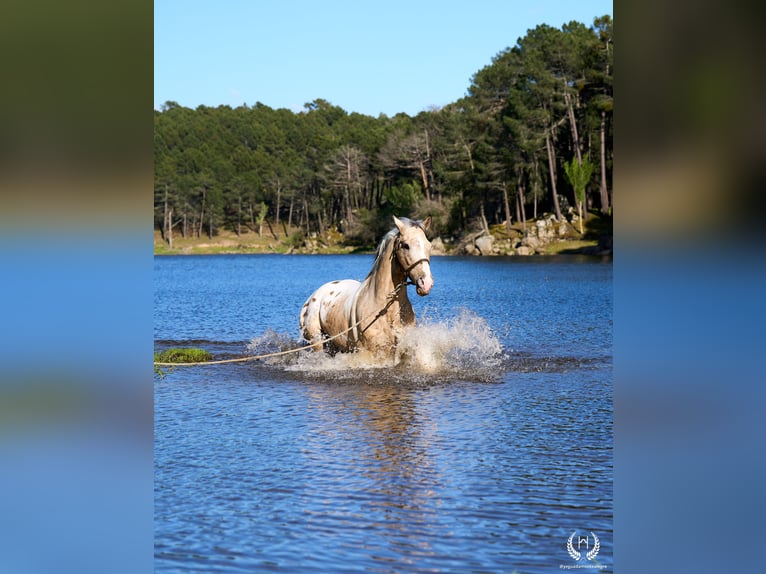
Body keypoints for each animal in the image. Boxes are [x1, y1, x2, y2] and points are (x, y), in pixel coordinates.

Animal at [300, 216, 434, 358]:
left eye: (429, 245)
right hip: (317, 342)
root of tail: (311, 298)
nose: (426, 283)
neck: (385, 308)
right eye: (405, 246)